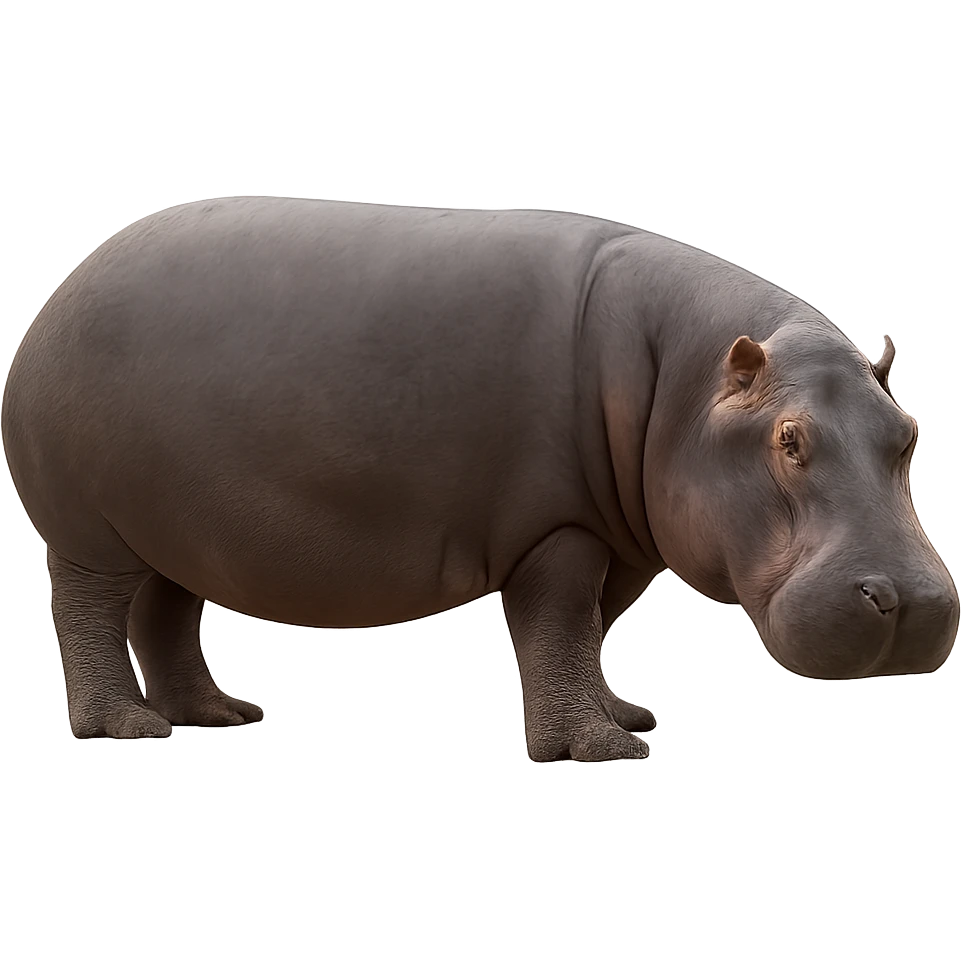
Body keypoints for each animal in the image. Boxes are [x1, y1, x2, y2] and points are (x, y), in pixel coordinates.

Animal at [2, 198, 957, 757]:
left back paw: (218, 714)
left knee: (164, 613)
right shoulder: (557, 531)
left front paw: (625, 715)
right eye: (789, 440)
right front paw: (598, 748)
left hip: (175, 531)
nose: (912, 601)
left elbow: (587, 633)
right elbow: (560, 628)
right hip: (89, 531)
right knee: (88, 615)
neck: (686, 380)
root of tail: (60, 290)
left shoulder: (615, 539)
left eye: (908, 431)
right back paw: (126, 729)